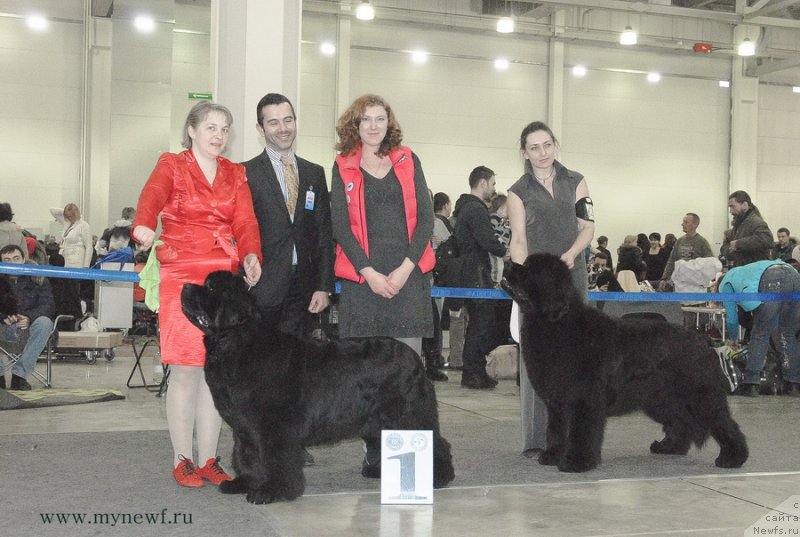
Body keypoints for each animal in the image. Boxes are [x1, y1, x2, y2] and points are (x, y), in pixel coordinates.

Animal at [183, 272, 456, 502]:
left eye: (210, 287)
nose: (184, 286)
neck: (235, 342)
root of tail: (415, 358)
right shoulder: (245, 427)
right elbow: (247, 455)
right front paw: (246, 483)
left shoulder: (274, 427)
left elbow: (275, 459)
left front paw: (272, 491)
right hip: (378, 420)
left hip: (408, 414)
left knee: (435, 442)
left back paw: (438, 477)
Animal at [504, 253, 748, 472]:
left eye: (529, 268)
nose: (507, 262)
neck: (557, 322)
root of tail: (702, 340)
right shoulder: (558, 401)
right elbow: (556, 430)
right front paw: (553, 456)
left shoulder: (584, 399)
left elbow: (580, 432)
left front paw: (576, 462)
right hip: (661, 398)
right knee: (681, 421)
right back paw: (669, 447)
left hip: (699, 396)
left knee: (723, 422)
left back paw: (733, 457)